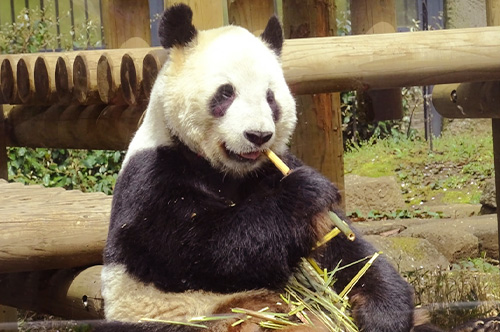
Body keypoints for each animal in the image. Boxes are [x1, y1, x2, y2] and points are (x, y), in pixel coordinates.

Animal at [100, 3, 442, 332]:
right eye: (226, 92)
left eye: (270, 97)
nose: (258, 136)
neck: (226, 171)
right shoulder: (154, 177)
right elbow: (201, 249)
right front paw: (303, 193)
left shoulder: (273, 167)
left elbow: (341, 247)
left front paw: (384, 312)